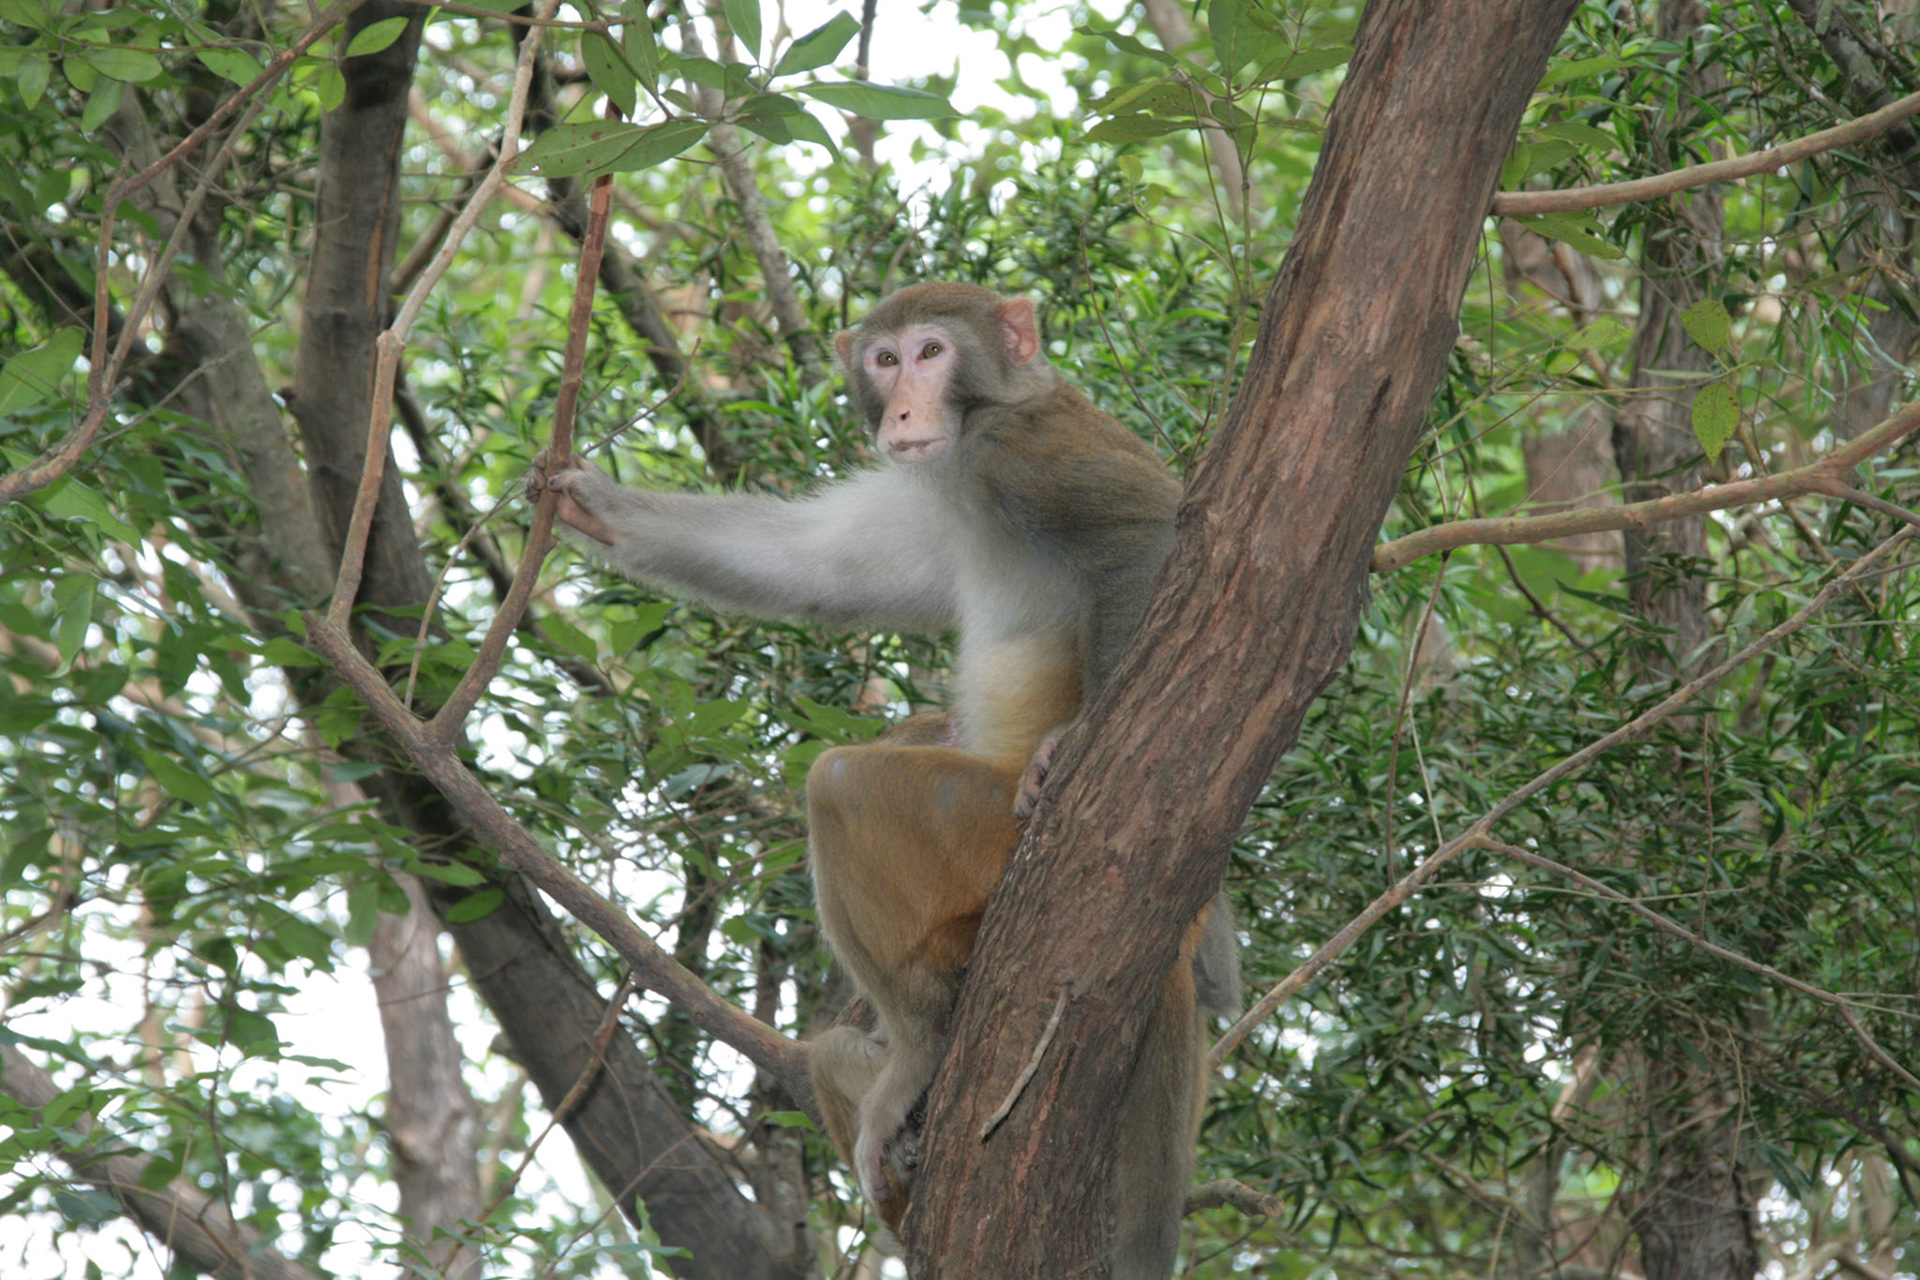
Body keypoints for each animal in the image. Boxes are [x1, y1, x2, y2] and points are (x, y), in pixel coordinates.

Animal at [528, 282, 1237, 1279]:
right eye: (885, 360)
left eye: (933, 352)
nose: (904, 408)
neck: (980, 427)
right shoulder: (931, 497)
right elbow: (822, 568)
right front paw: (595, 505)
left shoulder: (1023, 455)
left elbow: (1159, 541)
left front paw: (1071, 738)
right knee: (833, 1044)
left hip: (987, 836)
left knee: (846, 787)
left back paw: (921, 1050)